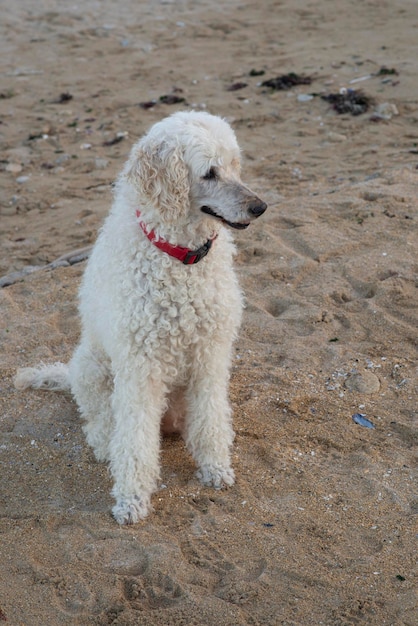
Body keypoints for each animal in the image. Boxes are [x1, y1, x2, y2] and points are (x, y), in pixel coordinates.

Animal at [15, 112, 268, 520]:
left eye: (234, 165)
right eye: (209, 173)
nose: (260, 207)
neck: (180, 258)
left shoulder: (210, 356)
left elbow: (212, 419)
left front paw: (214, 468)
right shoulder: (139, 367)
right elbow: (134, 440)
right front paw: (131, 498)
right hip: (92, 368)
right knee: (102, 423)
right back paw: (104, 444)